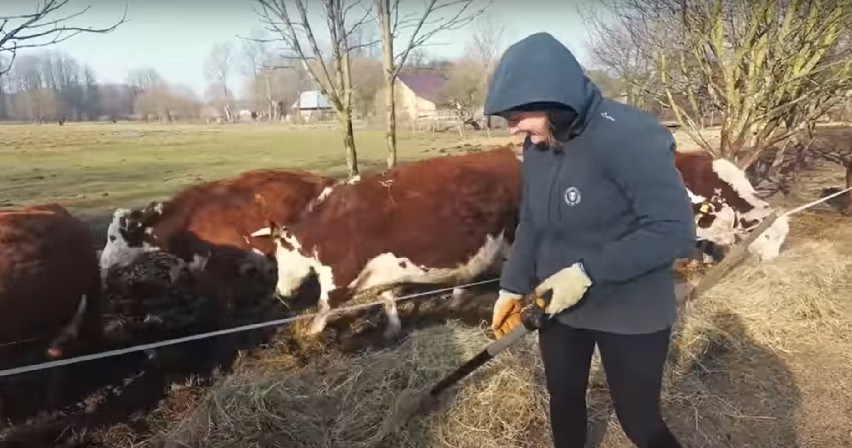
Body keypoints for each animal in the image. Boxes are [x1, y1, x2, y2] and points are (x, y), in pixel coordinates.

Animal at [250, 149, 524, 338]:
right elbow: (387, 299)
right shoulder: (378, 270)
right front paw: (393, 329)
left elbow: (323, 309)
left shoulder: (339, 279)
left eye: (281, 256)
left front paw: (308, 337)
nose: (280, 293)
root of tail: (505, 152)